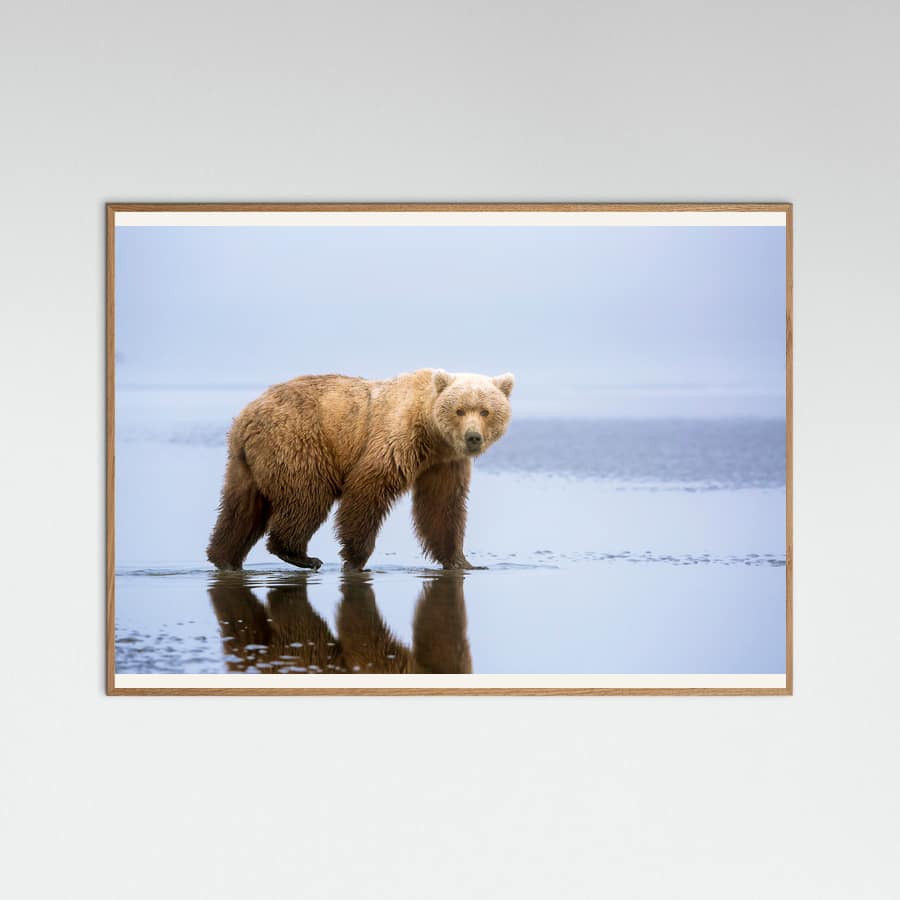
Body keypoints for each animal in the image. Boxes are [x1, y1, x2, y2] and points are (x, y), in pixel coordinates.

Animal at [206, 368, 514, 572]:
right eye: (460, 410)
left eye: (485, 411)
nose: (473, 437)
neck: (431, 434)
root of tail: (246, 416)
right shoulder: (397, 438)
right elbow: (368, 489)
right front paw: (355, 558)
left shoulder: (444, 464)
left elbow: (442, 508)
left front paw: (463, 561)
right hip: (297, 442)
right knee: (307, 497)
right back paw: (301, 555)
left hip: (245, 463)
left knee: (241, 508)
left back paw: (223, 557)